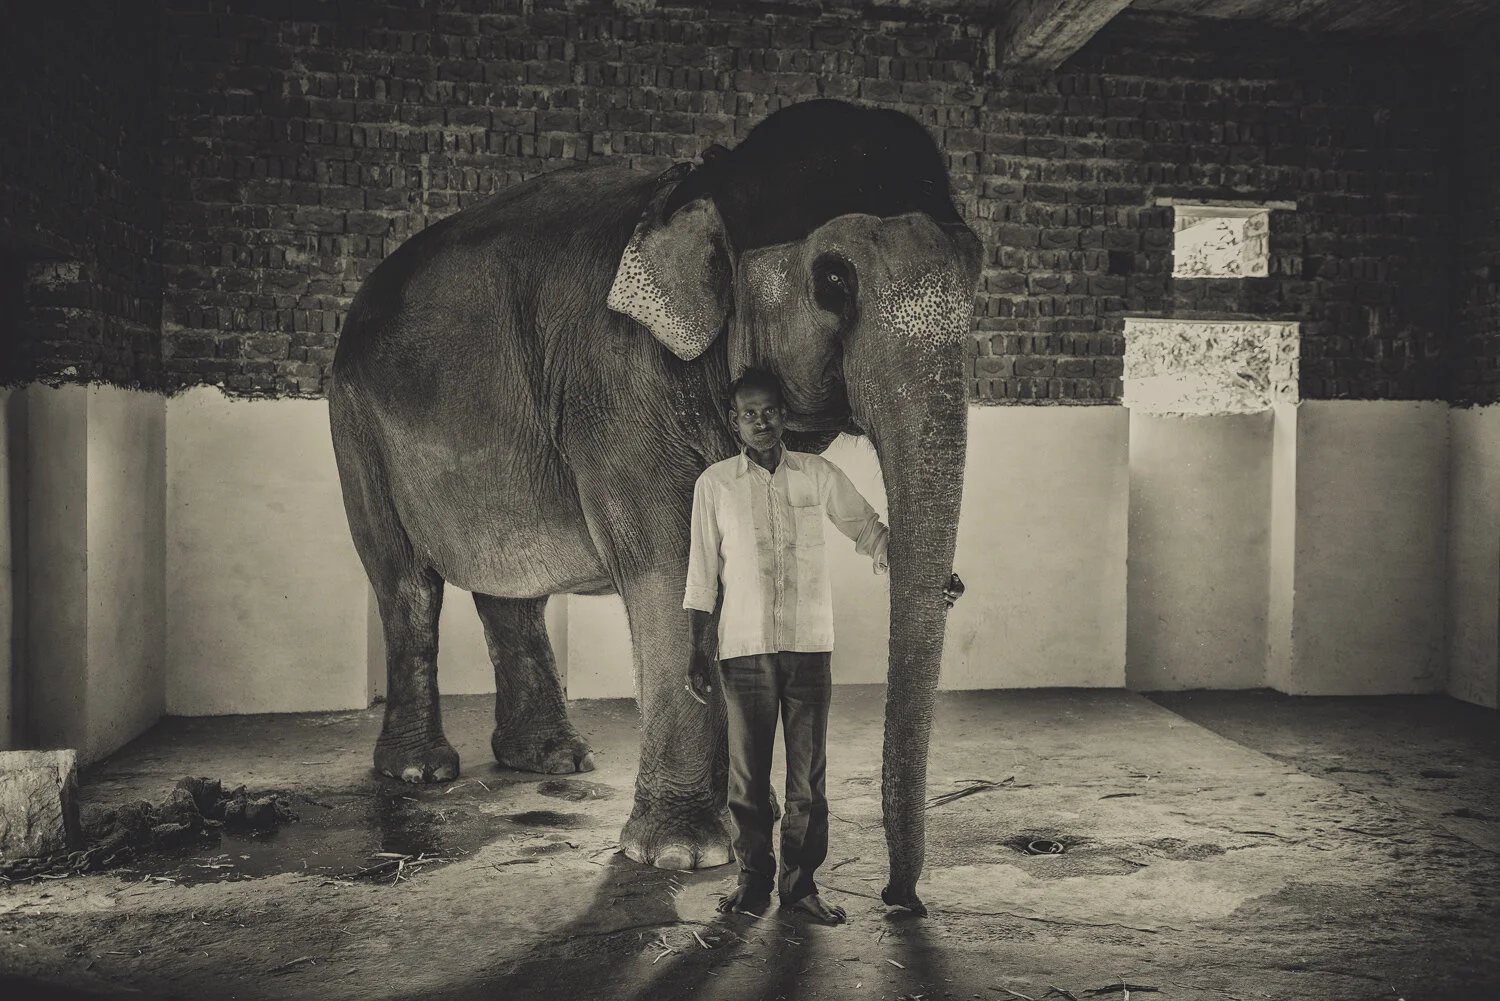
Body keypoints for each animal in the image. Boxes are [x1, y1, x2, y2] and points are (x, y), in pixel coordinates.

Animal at [328, 98, 982, 915]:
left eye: (977, 265)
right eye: (834, 280)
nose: (900, 901)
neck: (707, 181)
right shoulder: (617, 385)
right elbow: (671, 569)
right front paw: (682, 853)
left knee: (510, 586)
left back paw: (551, 759)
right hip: (356, 423)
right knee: (405, 583)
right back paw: (421, 771)